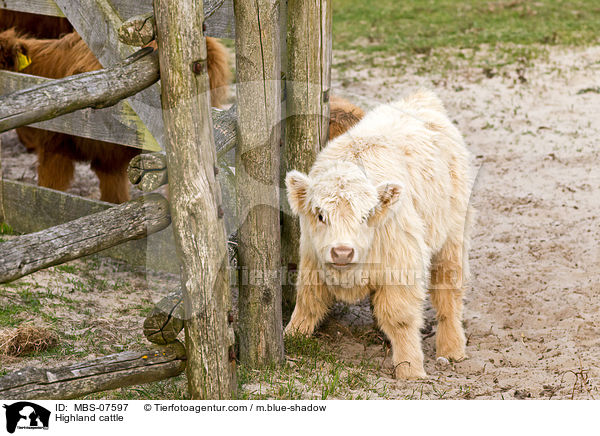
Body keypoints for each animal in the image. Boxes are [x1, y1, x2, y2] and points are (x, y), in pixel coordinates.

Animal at [286, 90, 474, 380]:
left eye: (366, 215)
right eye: (320, 215)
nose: (342, 252)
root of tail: (421, 98)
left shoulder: (401, 268)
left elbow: (400, 318)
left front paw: (410, 369)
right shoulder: (312, 260)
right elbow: (308, 300)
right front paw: (291, 337)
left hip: (452, 238)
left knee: (448, 294)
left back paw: (452, 349)